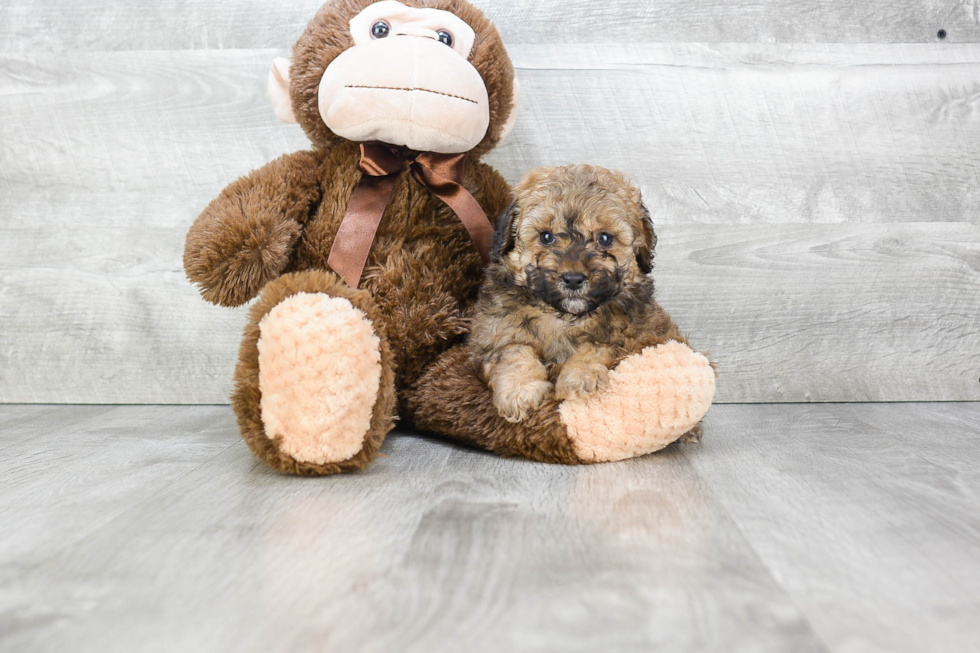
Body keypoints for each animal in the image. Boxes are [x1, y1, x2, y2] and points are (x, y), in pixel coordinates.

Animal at [466, 163, 680, 422]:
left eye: (605, 238)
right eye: (546, 237)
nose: (573, 279)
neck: (565, 317)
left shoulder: (638, 336)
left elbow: (598, 345)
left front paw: (579, 379)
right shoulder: (490, 339)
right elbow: (513, 350)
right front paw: (519, 390)